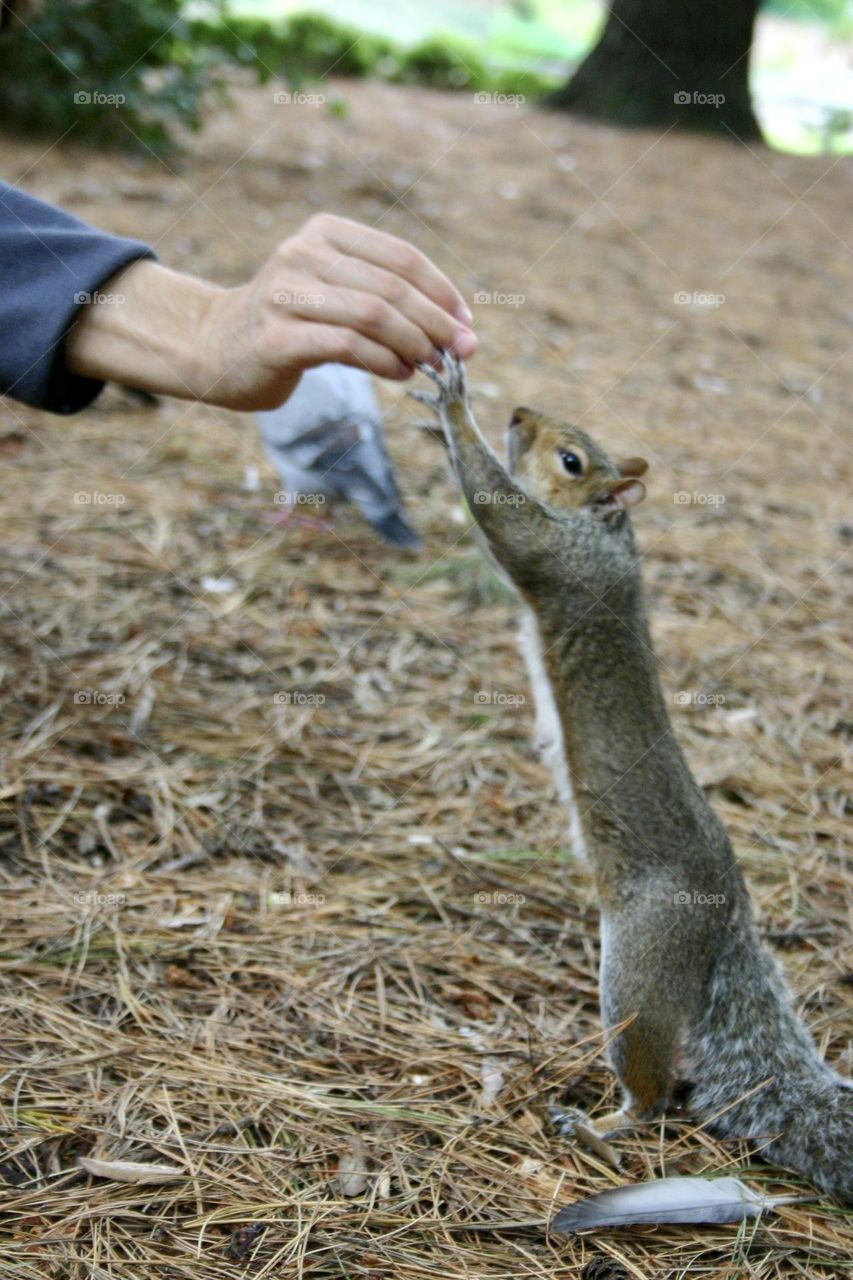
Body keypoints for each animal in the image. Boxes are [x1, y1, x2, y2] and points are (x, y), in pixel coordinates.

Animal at [410, 351, 853, 1203]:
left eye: (570, 460)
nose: (518, 412)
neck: (611, 534)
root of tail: (728, 918)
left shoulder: (558, 556)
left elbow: (499, 510)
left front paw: (453, 407)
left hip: (638, 969)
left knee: (654, 1095)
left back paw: (600, 1126)